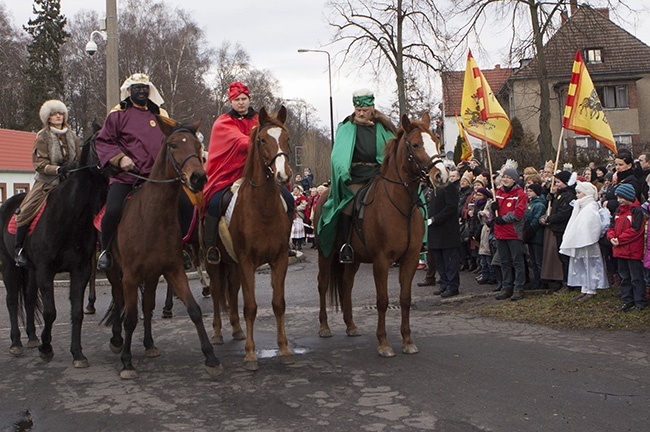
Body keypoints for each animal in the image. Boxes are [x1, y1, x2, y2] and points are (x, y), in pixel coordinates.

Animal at [104, 118, 220, 378]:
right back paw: (116, 340)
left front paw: (210, 356)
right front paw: (127, 362)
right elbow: (130, 318)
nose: (198, 178)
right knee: (118, 300)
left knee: (147, 306)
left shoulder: (172, 269)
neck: (151, 217)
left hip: (152, 274)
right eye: (173, 145)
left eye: (198, 145)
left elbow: (194, 310)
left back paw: (149, 343)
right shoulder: (130, 276)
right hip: (114, 271)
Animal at [205, 105, 292, 372]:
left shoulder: (279, 259)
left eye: (287, 138)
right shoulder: (247, 262)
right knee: (216, 292)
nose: (283, 175)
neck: (263, 208)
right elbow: (251, 307)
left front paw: (284, 349)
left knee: (232, 291)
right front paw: (251, 355)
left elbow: (278, 303)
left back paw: (235, 329)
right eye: (262, 140)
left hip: (232, 264)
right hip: (215, 262)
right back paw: (217, 333)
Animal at [312, 113, 446, 356]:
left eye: (436, 142)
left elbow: (405, 299)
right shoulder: (381, 260)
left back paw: (351, 325)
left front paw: (407, 340)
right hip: (325, 254)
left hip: (353, 259)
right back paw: (324, 326)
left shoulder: (411, 258)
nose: (441, 175)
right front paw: (383, 343)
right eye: (415, 145)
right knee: (323, 285)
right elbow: (382, 301)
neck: (400, 204)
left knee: (347, 284)